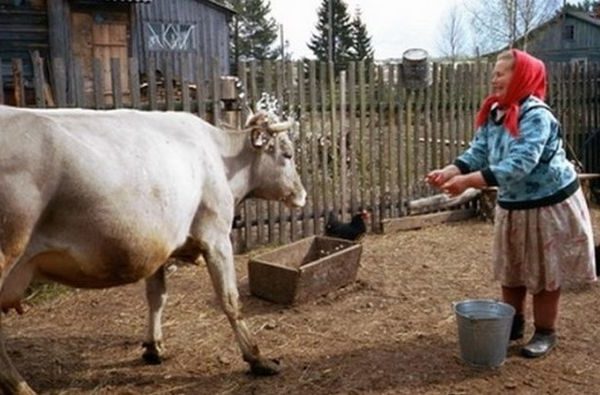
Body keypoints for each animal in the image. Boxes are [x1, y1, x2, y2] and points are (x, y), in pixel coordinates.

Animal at [0, 106, 304, 395]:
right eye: (287, 154)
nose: (302, 195)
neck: (220, 158)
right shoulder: (216, 236)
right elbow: (230, 299)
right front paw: (257, 359)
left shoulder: (157, 244)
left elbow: (157, 297)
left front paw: (153, 347)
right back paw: (22, 387)